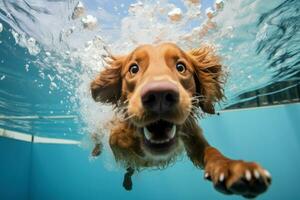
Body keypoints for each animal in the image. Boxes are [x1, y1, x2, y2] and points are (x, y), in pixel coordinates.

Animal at [90, 42, 270, 198]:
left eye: (180, 67)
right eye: (134, 69)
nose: (159, 96)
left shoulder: (194, 137)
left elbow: (212, 152)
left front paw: (231, 167)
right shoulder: (117, 138)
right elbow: (119, 141)